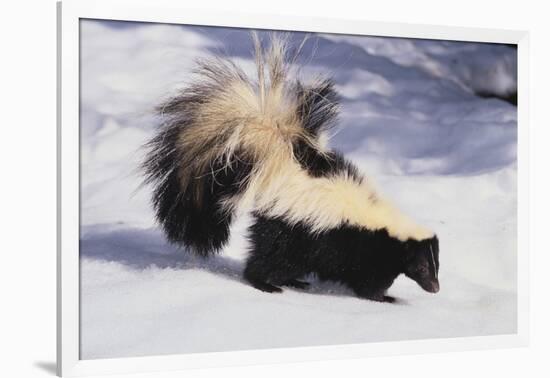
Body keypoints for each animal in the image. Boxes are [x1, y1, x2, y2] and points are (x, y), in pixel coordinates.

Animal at [144, 34, 442, 302]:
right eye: (422, 266)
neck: (387, 227)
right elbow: (368, 281)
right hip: (287, 232)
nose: (435, 288)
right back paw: (266, 284)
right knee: (267, 259)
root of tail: (281, 163)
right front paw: (385, 298)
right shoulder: (363, 248)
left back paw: (295, 282)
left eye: (436, 264)